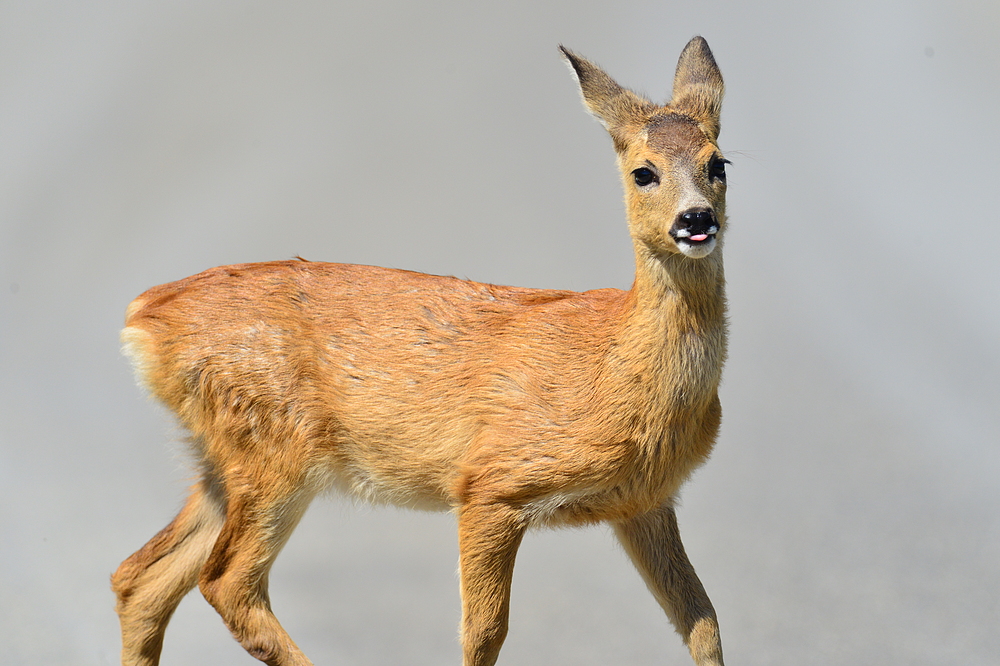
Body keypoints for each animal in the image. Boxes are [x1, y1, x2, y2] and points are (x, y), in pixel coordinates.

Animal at [111, 36, 728, 664]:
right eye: (644, 172)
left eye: (718, 163)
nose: (696, 219)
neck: (617, 369)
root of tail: (145, 316)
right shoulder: (490, 482)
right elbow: (484, 631)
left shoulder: (644, 503)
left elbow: (702, 621)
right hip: (275, 448)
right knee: (225, 582)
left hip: (221, 457)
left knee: (141, 576)